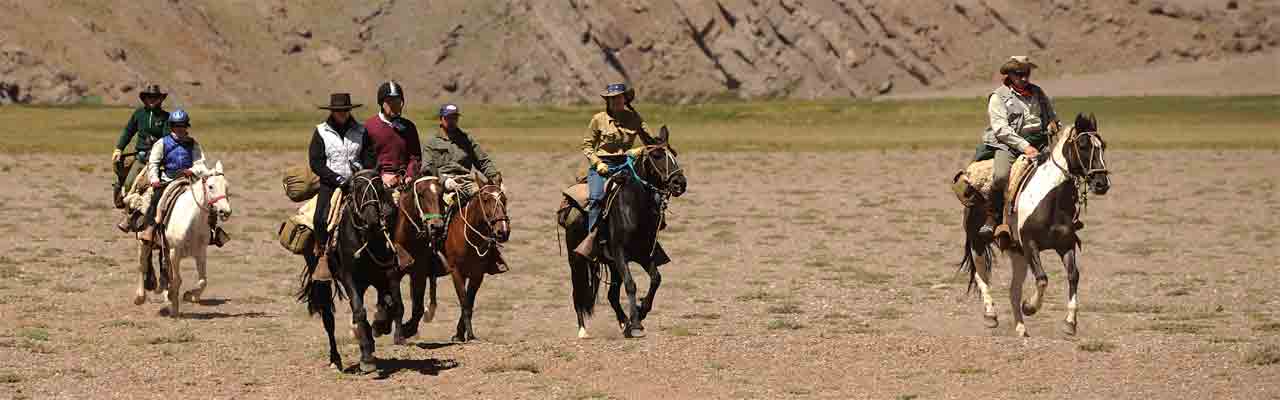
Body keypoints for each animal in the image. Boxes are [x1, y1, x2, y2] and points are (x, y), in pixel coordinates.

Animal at [133, 160, 232, 319]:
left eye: (226, 186)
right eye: (211, 186)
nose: (225, 212)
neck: (192, 220)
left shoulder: (200, 252)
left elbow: (203, 280)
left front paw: (189, 296)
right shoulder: (175, 252)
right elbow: (177, 280)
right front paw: (174, 308)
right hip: (144, 243)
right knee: (142, 266)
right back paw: (140, 297)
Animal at [296, 170, 401, 374]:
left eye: (379, 187)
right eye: (356, 189)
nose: (372, 219)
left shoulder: (385, 274)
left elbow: (390, 303)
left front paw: (379, 326)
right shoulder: (349, 278)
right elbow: (359, 311)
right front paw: (367, 358)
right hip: (322, 281)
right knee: (329, 318)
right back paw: (335, 359)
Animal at [437, 173, 512, 341]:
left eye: (504, 199)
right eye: (485, 199)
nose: (503, 231)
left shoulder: (477, 274)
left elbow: (469, 302)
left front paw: (461, 334)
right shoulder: (456, 272)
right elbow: (464, 302)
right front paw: (468, 335)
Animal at [563, 126, 686, 338]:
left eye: (674, 153)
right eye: (657, 155)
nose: (680, 183)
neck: (634, 207)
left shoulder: (643, 253)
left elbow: (656, 279)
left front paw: (640, 312)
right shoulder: (620, 253)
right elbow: (631, 284)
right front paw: (636, 324)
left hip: (612, 265)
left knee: (612, 295)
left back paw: (623, 322)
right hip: (576, 260)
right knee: (577, 291)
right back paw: (583, 329)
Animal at [962, 113, 1111, 338]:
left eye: (1103, 145)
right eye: (1083, 145)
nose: (1102, 183)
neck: (1051, 199)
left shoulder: (1065, 244)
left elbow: (1073, 276)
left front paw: (1070, 323)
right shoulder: (1030, 243)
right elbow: (1042, 278)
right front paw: (1030, 307)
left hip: (1017, 253)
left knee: (1013, 290)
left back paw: (1021, 329)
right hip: (977, 241)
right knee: (982, 276)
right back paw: (990, 315)